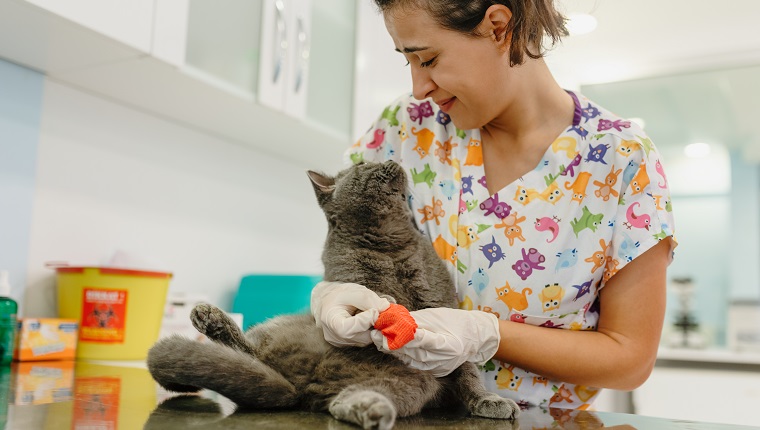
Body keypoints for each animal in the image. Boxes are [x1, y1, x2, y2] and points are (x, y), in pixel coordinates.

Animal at [146, 160, 520, 428]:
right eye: (363, 165)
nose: (392, 159)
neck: (388, 245)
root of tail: (299, 386)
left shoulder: (440, 303)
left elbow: (468, 372)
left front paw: (487, 400)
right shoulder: (351, 279)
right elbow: (366, 300)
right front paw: (382, 311)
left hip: (412, 383)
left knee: (348, 399)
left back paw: (368, 408)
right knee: (254, 354)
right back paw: (208, 317)